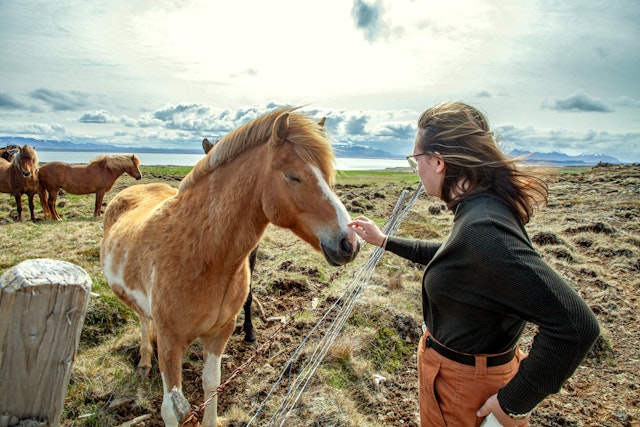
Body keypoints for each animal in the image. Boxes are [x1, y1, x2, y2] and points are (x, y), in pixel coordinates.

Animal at [100, 107, 360, 427]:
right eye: (293, 176)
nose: (349, 242)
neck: (203, 255)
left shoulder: (220, 332)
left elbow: (211, 383)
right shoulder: (171, 341)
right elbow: (172, 408)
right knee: (142, 318)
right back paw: (145, 361)